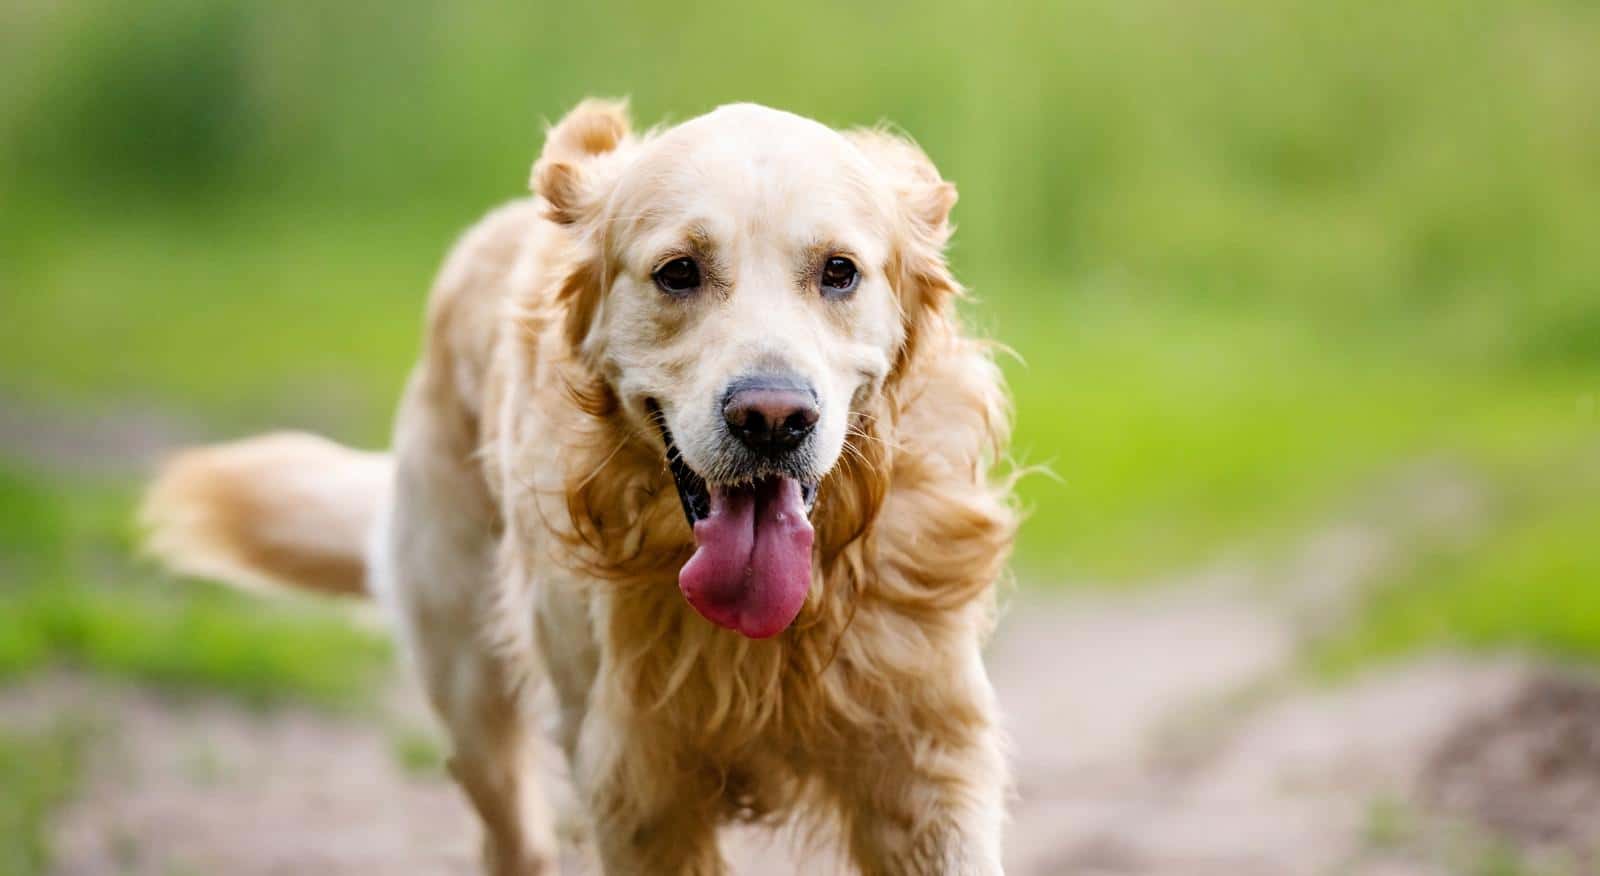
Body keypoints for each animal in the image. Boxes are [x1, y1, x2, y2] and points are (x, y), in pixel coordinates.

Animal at [140, 99, 1011, 869]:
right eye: (679, 272)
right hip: (468, 685)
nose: (772, 418)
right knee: (511, 836)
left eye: (839, 272)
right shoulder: (636, 790)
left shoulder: (926, 765)